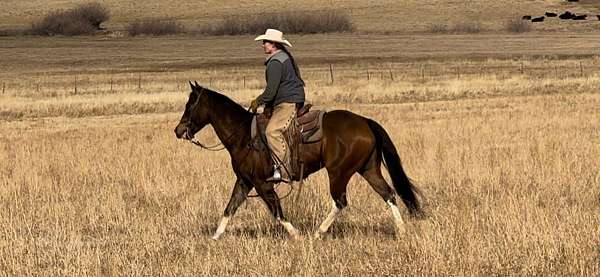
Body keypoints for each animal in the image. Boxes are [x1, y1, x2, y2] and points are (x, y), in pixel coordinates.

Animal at [173, 81, 422, 238]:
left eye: (190, 105)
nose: (178, 130)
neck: (242, 134)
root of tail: (365, 122)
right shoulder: (244, 181)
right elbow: (229, 208)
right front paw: (214, 238)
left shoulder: (262, 184)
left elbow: (277, 211)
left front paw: (297, 235)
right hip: (368, 169)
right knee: (388, 193)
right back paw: (401, 231)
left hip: (339, 172)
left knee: (340, 201)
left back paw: (318, 233)